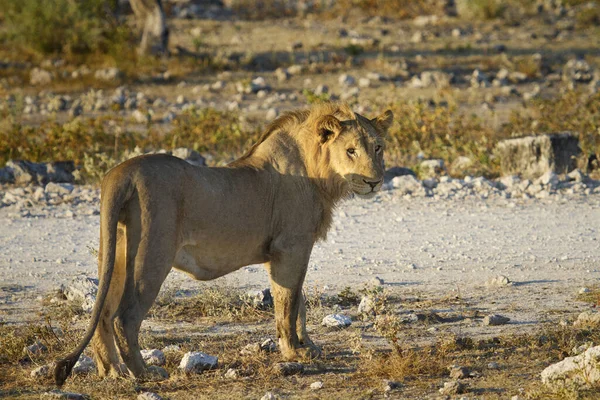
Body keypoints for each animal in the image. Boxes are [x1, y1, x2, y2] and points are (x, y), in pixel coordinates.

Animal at [55, 102, 394, 384]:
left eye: (378, 148)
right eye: (351, 151)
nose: (374, 181)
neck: (318, 170)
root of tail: (122, 173)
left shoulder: (293, 250)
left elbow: (300, 303)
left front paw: (307, 346)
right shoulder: (290, 248)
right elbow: (288, 303)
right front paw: (293, 352)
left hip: (116, 252)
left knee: (103, 312)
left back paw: (112, 371)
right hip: (151, 255)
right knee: (124, 317)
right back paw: (145, 373)